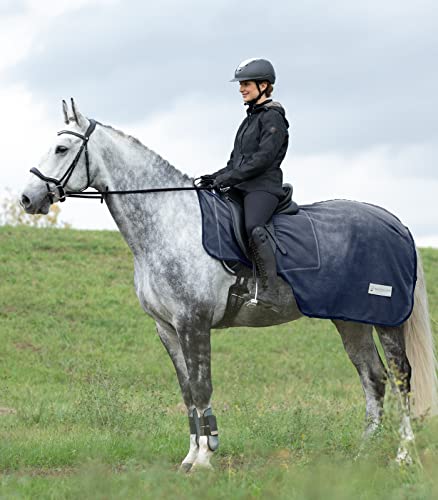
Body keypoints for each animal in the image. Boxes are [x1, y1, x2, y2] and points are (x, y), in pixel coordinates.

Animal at [21, 99, 438, 470]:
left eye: (61, 148)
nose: (28, 198)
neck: (170, 222)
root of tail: (395, 224)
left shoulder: (193, 322)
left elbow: (202, 387)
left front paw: (206, 459)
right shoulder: (167, 328)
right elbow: (187, 392)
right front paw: (190, 458)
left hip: (386, 320)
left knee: (401, 379)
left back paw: (403, 457)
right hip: (350, 320)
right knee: (374, 378)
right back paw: (363, 456)